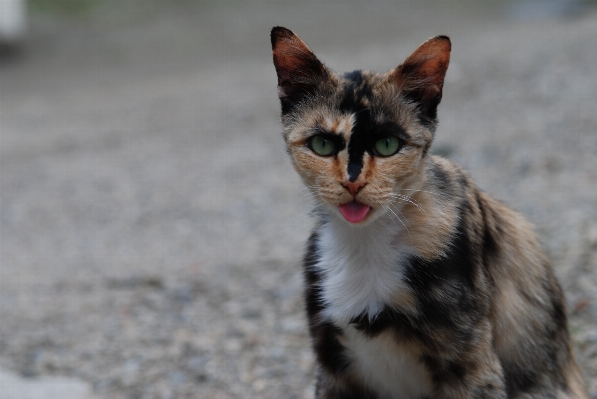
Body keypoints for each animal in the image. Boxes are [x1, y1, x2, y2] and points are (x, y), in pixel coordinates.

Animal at [272, 27, 592, 399]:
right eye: (322, 145)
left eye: (387, 145)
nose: (353, 183)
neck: (364, 244)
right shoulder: (333, 370)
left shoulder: (472, 365)